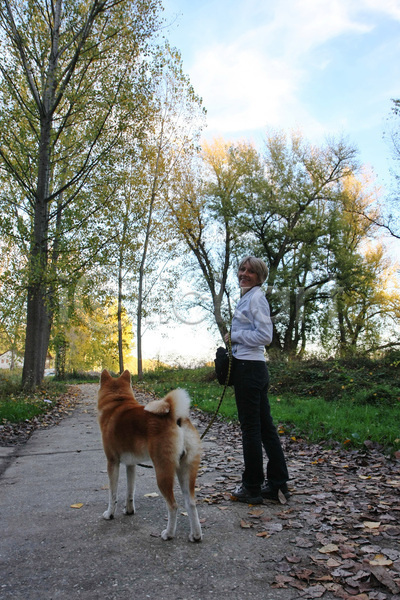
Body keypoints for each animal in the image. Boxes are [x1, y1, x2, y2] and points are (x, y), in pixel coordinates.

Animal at [97, 369, 202, 542]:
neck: (117, 402)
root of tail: (175, 417)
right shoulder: (131, 465)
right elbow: (130, 491)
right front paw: (129, 510)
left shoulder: (112, 462)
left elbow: (113, 494)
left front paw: (110, 513)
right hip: (186, 471)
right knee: (191, 503)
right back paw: (196, 535)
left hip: (163, 471)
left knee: (173, 506)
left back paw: (169, 534)